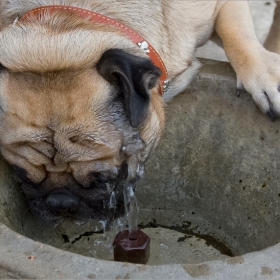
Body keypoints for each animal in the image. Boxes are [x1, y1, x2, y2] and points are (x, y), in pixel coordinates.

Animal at [0, 0, 280, 223]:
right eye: (22, 178)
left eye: (103, 179)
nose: (61, 203)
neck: (65, 23)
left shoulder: (220, 5)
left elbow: (237, 34)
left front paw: (262, 71)